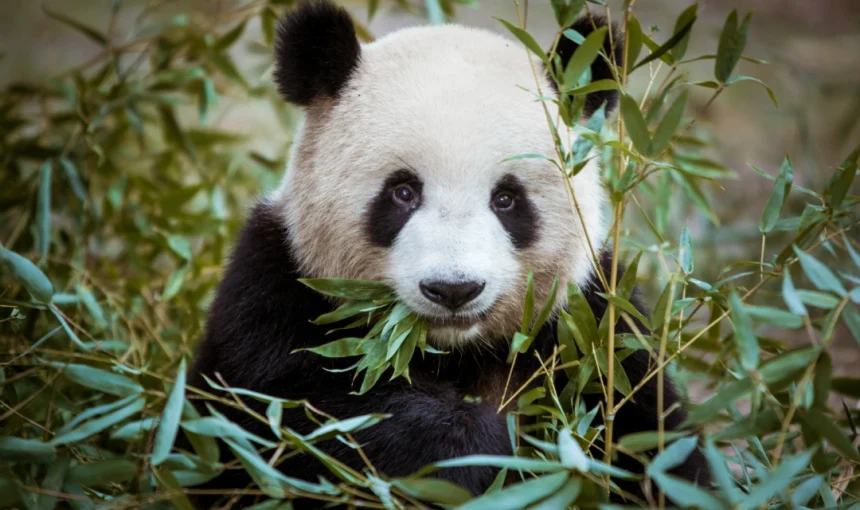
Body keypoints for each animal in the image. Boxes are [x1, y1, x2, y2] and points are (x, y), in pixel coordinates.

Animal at [187, 0, 709, 505]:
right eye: (402, 192)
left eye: (507, 198)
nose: (453, 289)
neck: (451, 350)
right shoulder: (274, 292)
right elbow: (292, 417)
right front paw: (483, 448)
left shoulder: (597, 325)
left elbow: (654, 449)